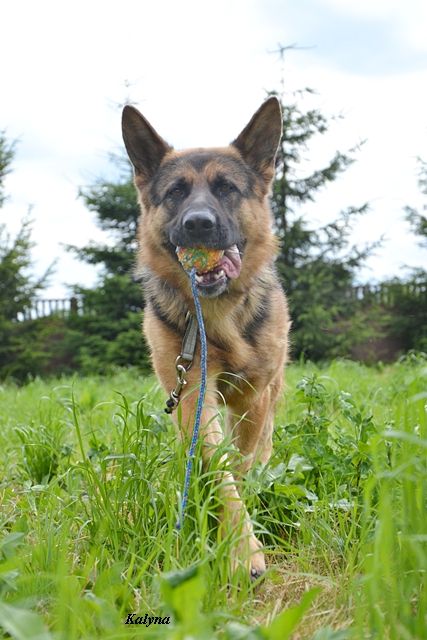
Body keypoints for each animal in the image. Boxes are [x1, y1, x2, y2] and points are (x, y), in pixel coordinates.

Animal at [122, 97, 290, 579]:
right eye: (175, 193)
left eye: (226, 188)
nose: (198, 224)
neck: (214, 315)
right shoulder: (194, 394)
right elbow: (219, 466)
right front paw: (241, 547)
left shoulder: (252, 397)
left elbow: (244, 460)